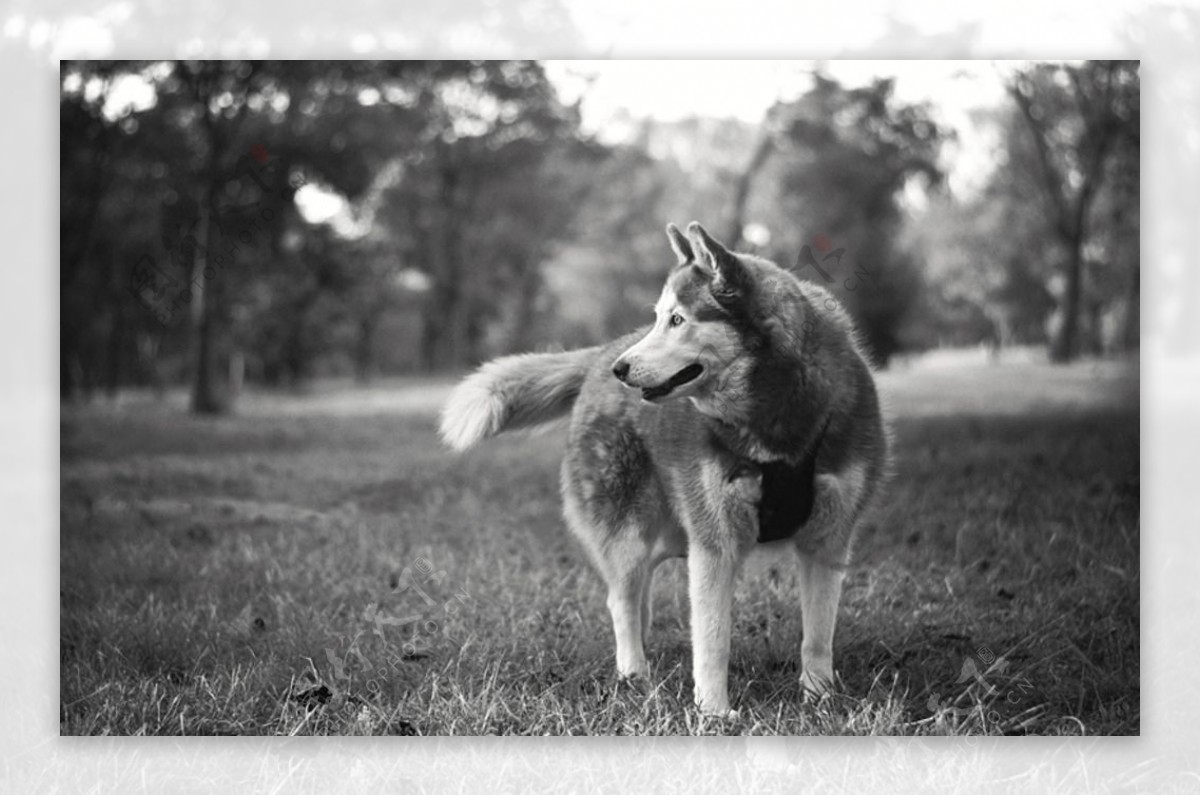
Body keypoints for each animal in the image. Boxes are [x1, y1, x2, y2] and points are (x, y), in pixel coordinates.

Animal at [436, 222, 888, 715]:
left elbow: (818, 635)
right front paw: (714, 712)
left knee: (639, 595)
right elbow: (713, 639)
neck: (775, 419)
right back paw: (633, 670)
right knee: (620, 598)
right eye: (659, 317)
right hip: (629, 531)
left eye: (677, 320)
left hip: (670, 532)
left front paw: (819, 697)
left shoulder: (828, 538)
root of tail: (601, 354)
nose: (622, 369)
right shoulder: (714, 544)